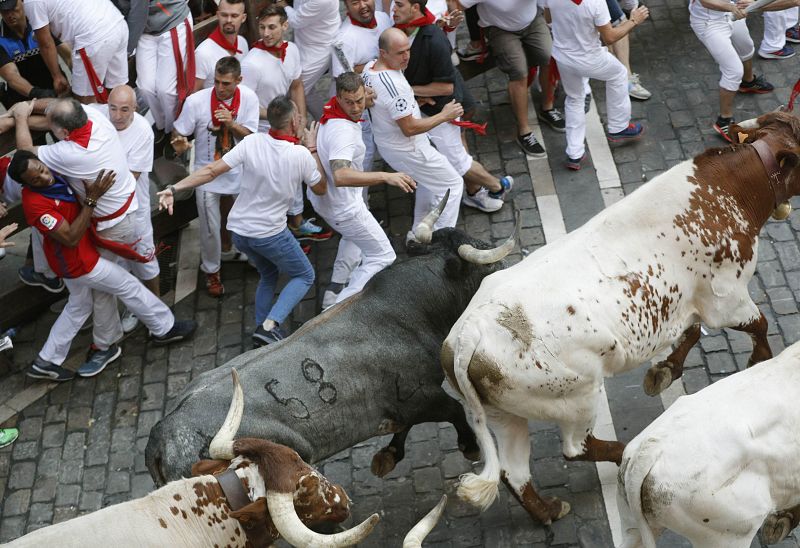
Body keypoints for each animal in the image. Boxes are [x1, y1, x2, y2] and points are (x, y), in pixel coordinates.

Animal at [147, 227, 512, 484]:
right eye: (480, 258)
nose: (506, 268)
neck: (406, 312)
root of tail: (162, 435)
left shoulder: (405, 406)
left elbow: (404, 428)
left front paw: (388, 456)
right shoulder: (419, 396)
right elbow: (455, 410)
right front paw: (469, 445)